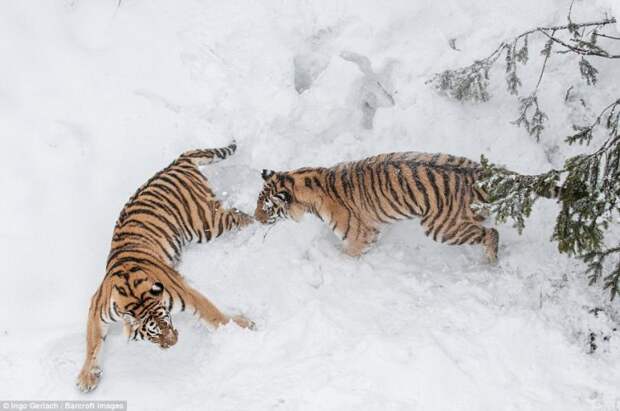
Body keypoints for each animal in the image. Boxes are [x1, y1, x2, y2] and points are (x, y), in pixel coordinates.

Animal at [77, 142, 254, 392]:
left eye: (167, 320)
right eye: (153, 332)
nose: (174, 342)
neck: (135, 298)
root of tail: (176, 163)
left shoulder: (187, 293)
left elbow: (213, 314)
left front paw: (242, 326)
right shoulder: (96, 309)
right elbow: (92, 343)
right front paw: (86, 376)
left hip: (207, 224)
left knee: (240, 215)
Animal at [254, 153, 560, 262]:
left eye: (267, 208)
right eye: (258, 202)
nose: (255, 219)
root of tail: (478, 172)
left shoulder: (359, 235)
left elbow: (349, 253)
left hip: (440, 227)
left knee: (490, 233)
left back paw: (490, 261)